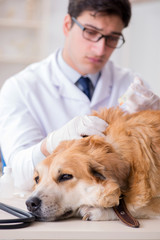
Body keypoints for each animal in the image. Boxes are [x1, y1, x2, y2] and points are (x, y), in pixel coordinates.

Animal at [25, 108, 160, 222]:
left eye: (65, 176)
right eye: (37, 179)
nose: (30, 203)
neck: (114, 149)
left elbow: (136, 207)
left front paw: (99, 211)